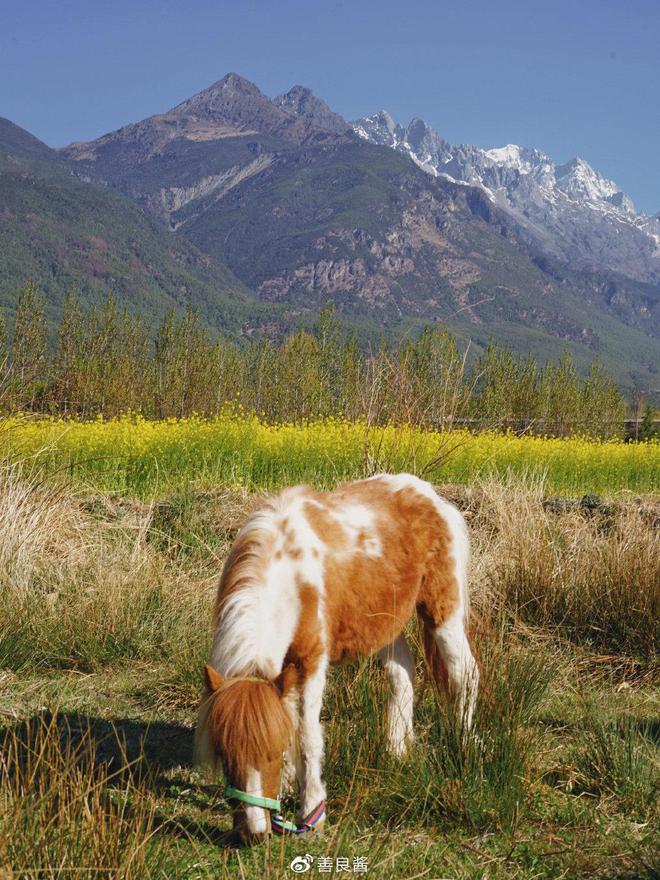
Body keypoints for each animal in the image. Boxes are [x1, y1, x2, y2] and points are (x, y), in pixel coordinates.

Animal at [196, 470, 480, 844]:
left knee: (465, 674)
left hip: (442, 611)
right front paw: (290, 784)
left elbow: (307, 735)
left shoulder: (311, 662)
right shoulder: (286, 670)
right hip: (385, 623)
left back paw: (464, 745)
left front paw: (312, 815)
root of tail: (428, 494)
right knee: (403, 675)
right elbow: (288, 718)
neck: (288, 573)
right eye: (225, 755)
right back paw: (396, 752)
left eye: (270, 753)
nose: (254, 833)